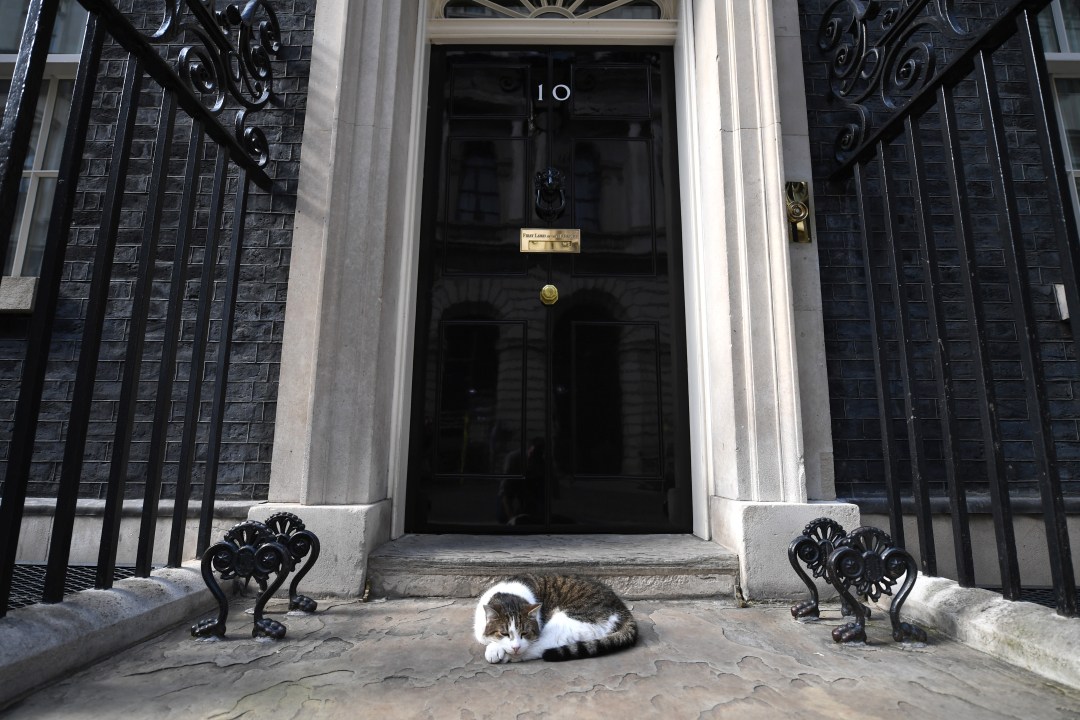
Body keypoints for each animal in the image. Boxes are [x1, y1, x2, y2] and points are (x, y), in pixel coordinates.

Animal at [473, 573, 637, 663]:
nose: (515, 647)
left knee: (543, 646)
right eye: (504, 633)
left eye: (525, 633)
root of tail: (622, 608)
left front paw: (495, 650)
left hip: (568, 619)